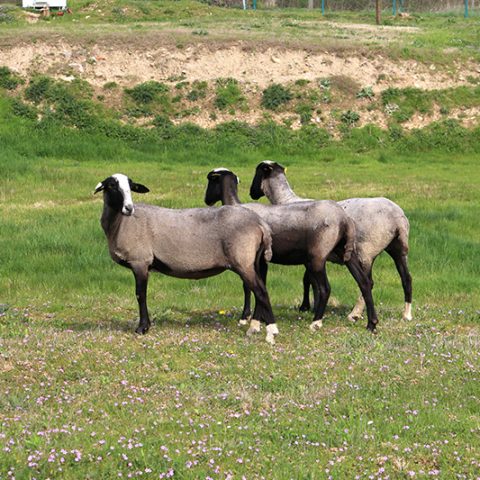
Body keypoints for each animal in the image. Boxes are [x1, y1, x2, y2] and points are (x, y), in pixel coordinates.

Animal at [94, 174, 282, 344]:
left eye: (131, 187)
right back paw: (255, 328)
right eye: (111, 186)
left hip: (243, 260)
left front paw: (142, 328)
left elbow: (141, 295)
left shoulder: (140, 262)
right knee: (261, 289)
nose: (129, 208)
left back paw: (271, 332)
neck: (121, 225)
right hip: (255, 261)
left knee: (261, 292)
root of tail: (261, 224)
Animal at [202, 167, 378, 332]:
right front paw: (261, 318)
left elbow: (249, 287)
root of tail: (344, 218)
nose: (206, 200)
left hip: (318, 255)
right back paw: (371, 323)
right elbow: (260, 285)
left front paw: (246, 318)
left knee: (325, 288)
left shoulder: (252, 258)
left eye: (211, 180)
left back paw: (316, 322)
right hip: (346, 252)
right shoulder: (262, 260)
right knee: (364, 283)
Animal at [251, 161, 412, 322]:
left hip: (366, 251)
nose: (251, 193)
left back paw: (355, 313)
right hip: (398, 247)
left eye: (257, 172)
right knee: (406, 278)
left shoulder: (311, 255)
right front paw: (310, 307)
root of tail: (397, 217)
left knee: (368, 282)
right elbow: (308, 279)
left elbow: (309, 280)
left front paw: (307, 307)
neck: (286, 200)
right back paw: (406, 314)